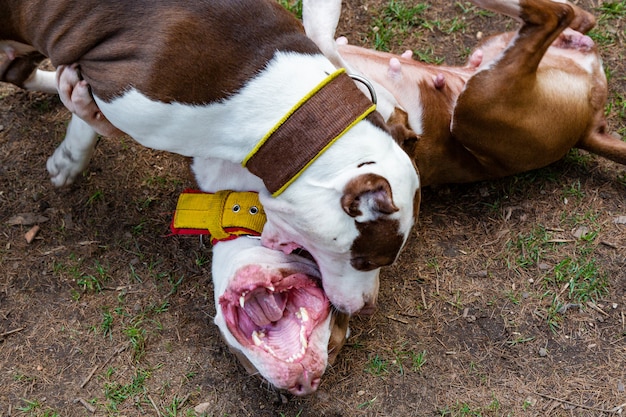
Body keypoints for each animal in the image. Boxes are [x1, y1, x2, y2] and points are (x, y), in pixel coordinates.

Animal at [304, 0, 624, 185]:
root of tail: (585, 132)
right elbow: (325, 41)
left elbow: (324, 40)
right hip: (481, 100)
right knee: (562, 15)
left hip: (477, 99)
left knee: (563, 15)